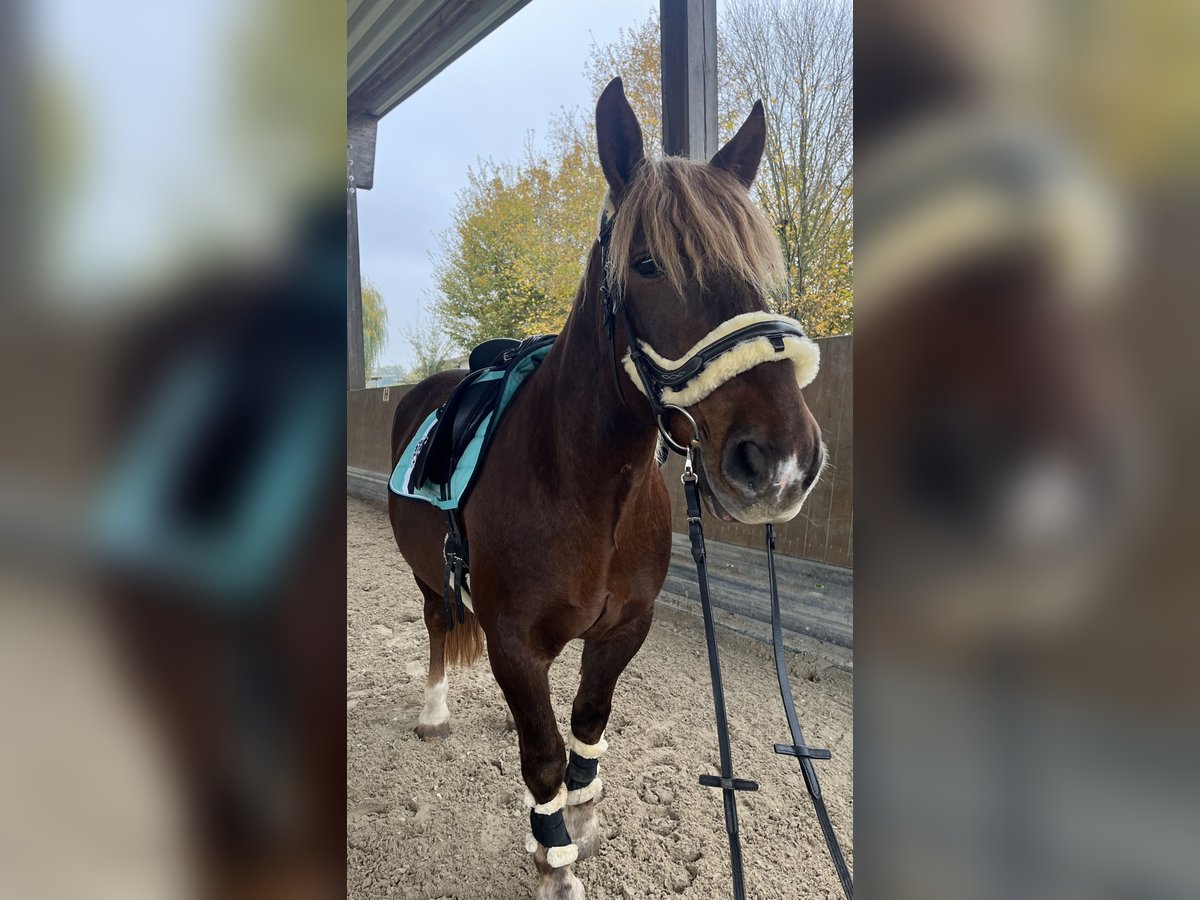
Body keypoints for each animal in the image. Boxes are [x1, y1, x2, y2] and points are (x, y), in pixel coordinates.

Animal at [388, 79, 820, 900]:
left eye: (758, 268)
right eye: (647, 264)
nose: (780, 461)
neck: (585, 490)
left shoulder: (623, 629)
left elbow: (585, 725)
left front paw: (580, 823)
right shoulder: (515, 642)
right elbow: (543, 756)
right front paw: (553, 861)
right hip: (429, 577)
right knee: (436, 625)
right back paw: (433, 709)